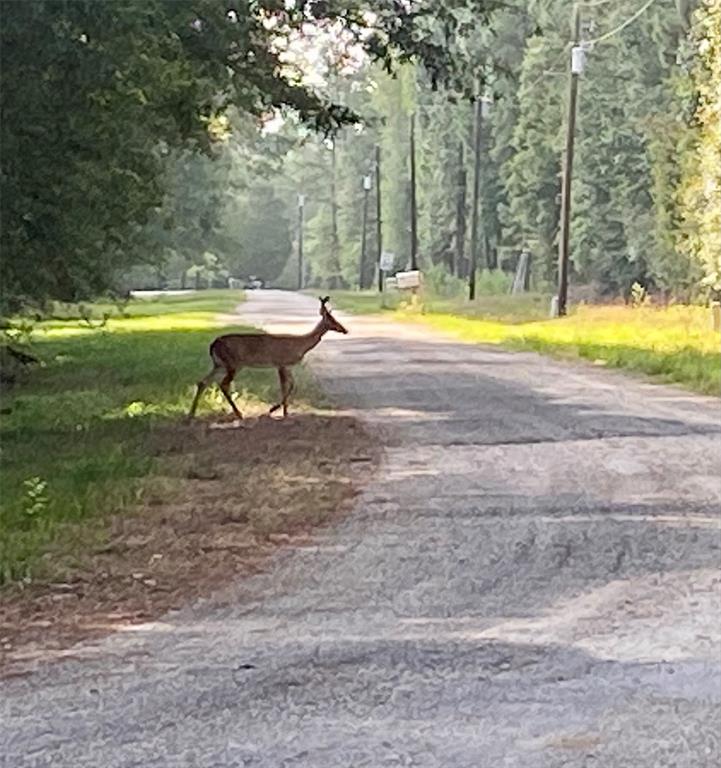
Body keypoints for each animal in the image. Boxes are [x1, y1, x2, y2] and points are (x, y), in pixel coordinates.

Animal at [188, 296, 348, 424]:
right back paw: (239, 414)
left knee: (202, 382)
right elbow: (285, 386)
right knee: (223, 384)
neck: (301, 344)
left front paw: (283, 411)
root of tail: (213, 344)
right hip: (233, 363)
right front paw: (276, 410)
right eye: (332, 319)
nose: (345, 330)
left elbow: (291, 385)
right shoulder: (281, 362)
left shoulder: (286, 366)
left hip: (219, 364)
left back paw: (191, 414)